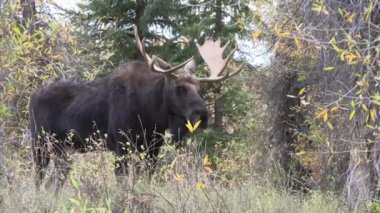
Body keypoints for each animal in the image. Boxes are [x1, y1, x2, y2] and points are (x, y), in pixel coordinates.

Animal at [29, 27, 243, 189]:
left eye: (199, 89)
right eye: (178, 87)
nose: (202, 114)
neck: (152, 114)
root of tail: (33, 97)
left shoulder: (153, 147)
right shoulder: (121, 145)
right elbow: (123, 183)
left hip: (63, 150)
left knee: (53, 182)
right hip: (40, 144)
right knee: (39, 180)